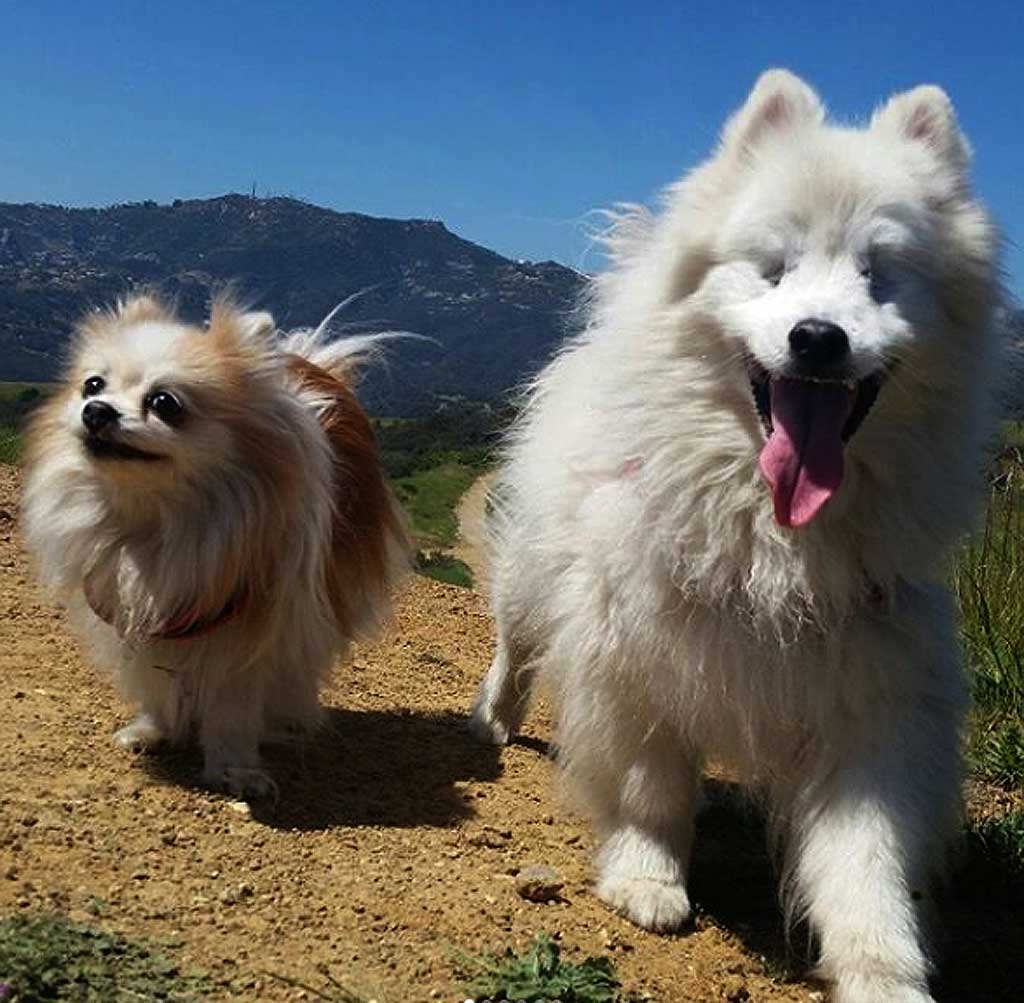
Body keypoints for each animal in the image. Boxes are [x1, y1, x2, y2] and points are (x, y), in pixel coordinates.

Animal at [24, 297, 407, 799]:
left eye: (164, 403)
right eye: (92, 384)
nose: (97, 411)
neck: (153, 526)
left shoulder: (249, 630)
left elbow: (233, 707)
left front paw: (234, 769)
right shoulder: (141, 615)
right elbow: (154, 678)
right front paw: (155, 729)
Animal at [475, 72, 1003, 1003]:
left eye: (878, 277)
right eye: (774, 269)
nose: (818, 337)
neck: (772, 539)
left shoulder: (872, 694)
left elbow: (866, 860)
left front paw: (883, 969)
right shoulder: (638, 651)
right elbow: (650, 786)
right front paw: (647, 877)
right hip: (536, 582)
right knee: (517, 646)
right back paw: (495, 720)